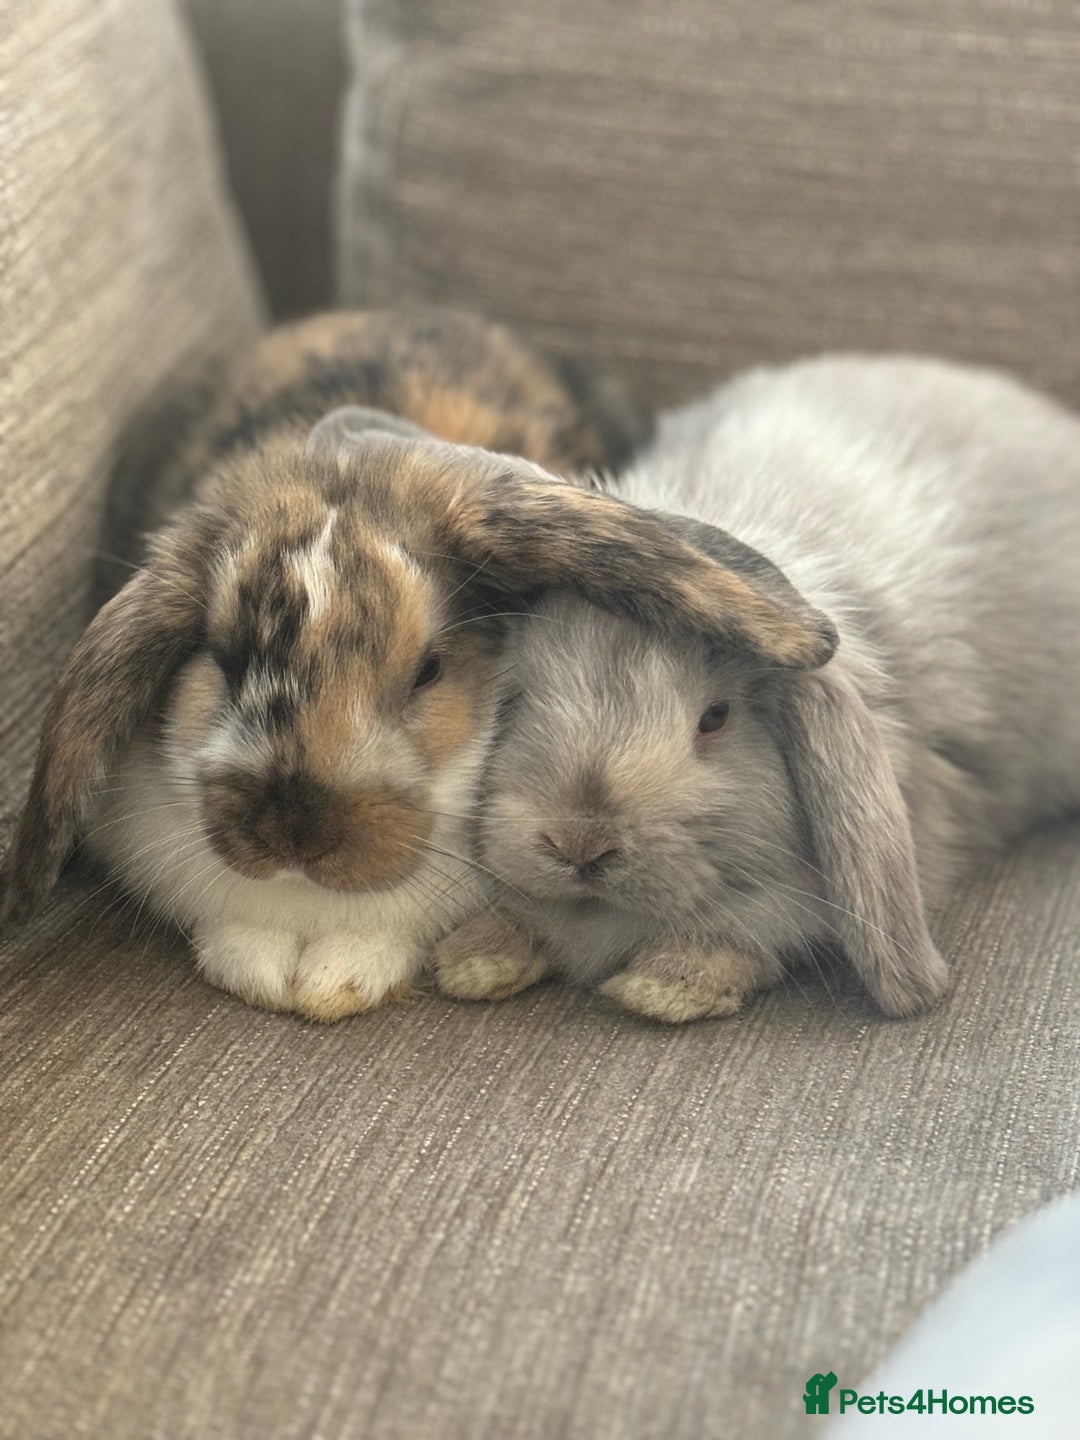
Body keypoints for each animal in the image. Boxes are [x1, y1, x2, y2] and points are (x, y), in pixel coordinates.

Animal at [434, 354, 1080, 1023]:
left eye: (716, 719)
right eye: (514, 699)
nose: (580, 843)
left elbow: (747, 941)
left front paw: (664, 986)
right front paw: (474, 960)